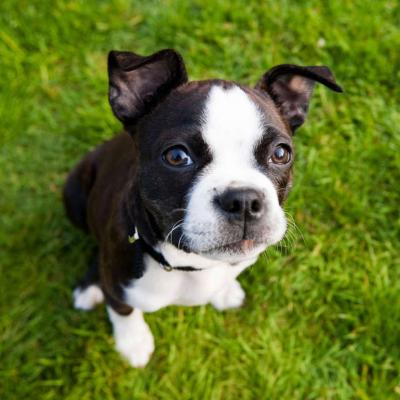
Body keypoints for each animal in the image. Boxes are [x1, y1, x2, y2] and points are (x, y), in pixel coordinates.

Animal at [64, 48, 342, 368]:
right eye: (176, 156)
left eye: (281, 154)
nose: (243, 200)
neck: (191, 265)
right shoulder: (117, 287)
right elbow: (124, 312)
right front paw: (133, 343)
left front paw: (225, 291)